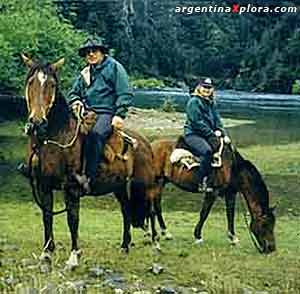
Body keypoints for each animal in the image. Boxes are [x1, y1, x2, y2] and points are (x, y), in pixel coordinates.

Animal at [20, 54, 157, 268]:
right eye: (31, 82)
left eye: (52, 84)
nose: (37, 122)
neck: (55, 139)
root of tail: (143, 142)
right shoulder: (43, 185)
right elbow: (47, 216)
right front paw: (46, 253)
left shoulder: (71, 188)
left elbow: (72, 219)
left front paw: (73, 257)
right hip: (119, 187)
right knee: (126, 211)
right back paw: (125, 246)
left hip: (144, 186)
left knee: (150, 211)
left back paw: (155, 245)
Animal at [148, 137, 276, 254]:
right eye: (265, 224)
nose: (271, 248)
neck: (232, 168)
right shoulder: (212, 192)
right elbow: (204, 213)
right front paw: (198, 237)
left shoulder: (230, 193)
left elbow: (230, 214)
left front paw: (233, 238)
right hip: (157, 184)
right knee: (155, 208)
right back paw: (161, 234)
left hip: (162, 182)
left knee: (157, 207)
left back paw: (164, 233)